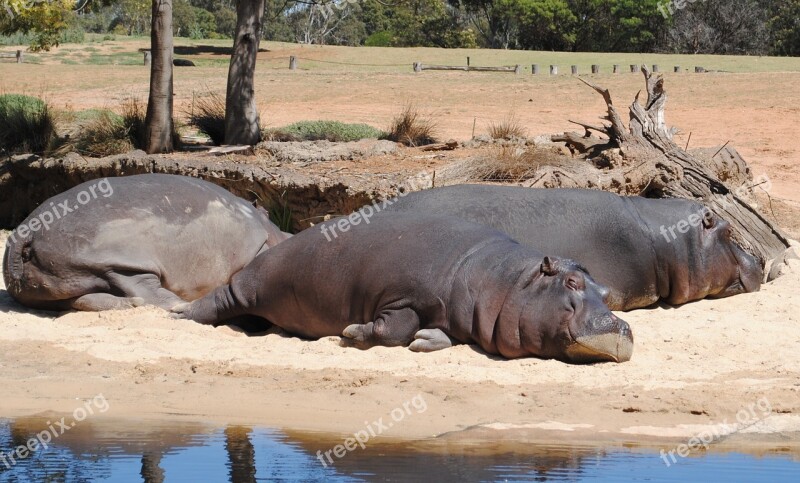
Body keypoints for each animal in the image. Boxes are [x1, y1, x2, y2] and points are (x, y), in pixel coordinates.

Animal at [3, 176, 290, 312]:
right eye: (268, 211)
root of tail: (27, 231)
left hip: (55, 283)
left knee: (78, 300)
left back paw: (131, 305)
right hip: (114, 260)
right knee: (143, 287)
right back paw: (178, 304)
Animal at [172, 213, 636, 364]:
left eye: (607, 291)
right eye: (572, 282)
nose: (622, 327)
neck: (502, 281)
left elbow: (432, 333)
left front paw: (427, 340)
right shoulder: (403, 296)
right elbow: (393, 327)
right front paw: (352, 333)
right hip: (251, 284)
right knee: (220, 299)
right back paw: (180, 314)